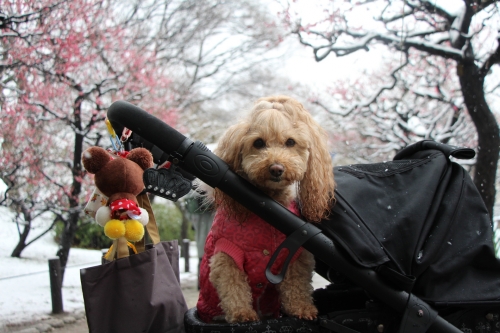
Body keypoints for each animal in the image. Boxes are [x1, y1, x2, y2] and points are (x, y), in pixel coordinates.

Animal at [196, 94, 336, 322]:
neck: (268, 204)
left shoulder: (296, 256)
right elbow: (233, 285)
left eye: (290, 142)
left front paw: (302, 308)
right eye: (258, 143)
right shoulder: (226, 254)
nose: (276, 168)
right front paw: (242, 314)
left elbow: (297, 285)